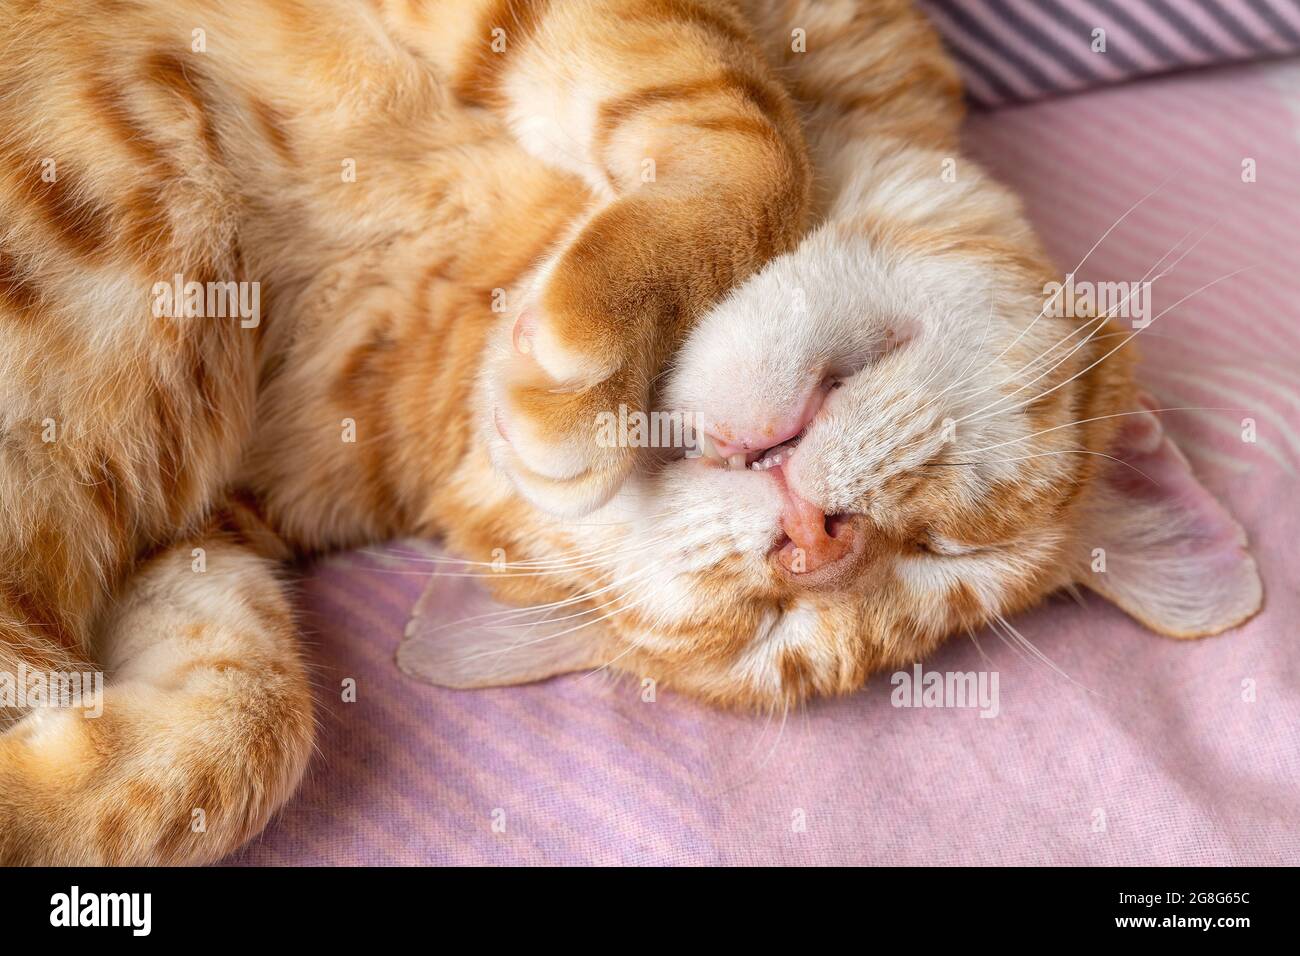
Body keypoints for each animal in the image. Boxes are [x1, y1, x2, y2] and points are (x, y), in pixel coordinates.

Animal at [0, 1, 1258, 868]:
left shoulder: (204, 539)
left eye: (762, 632)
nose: (815, 541)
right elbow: (739, 118)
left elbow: (246, 723)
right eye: (948, 549)